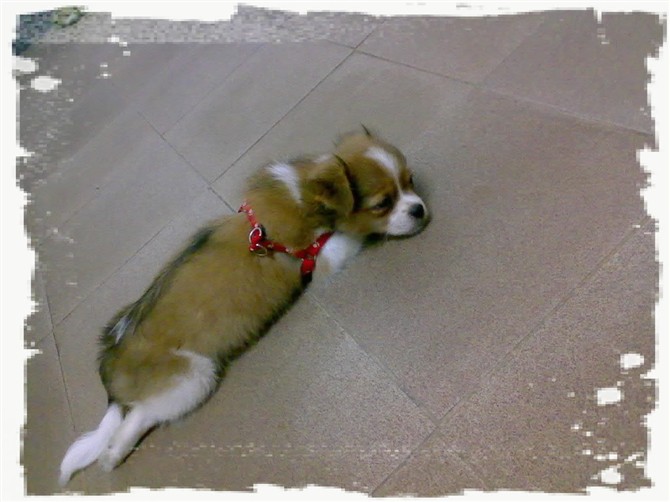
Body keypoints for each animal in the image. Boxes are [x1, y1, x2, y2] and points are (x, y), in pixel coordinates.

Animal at [58, 128, 429, 485]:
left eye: (410, 180)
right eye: (383, 203)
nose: (419, 209)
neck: (304, 195)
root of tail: (111, 365)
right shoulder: (321, 257)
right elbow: (350, 237)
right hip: (194, 375)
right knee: (142, 414)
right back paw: (113, 455)